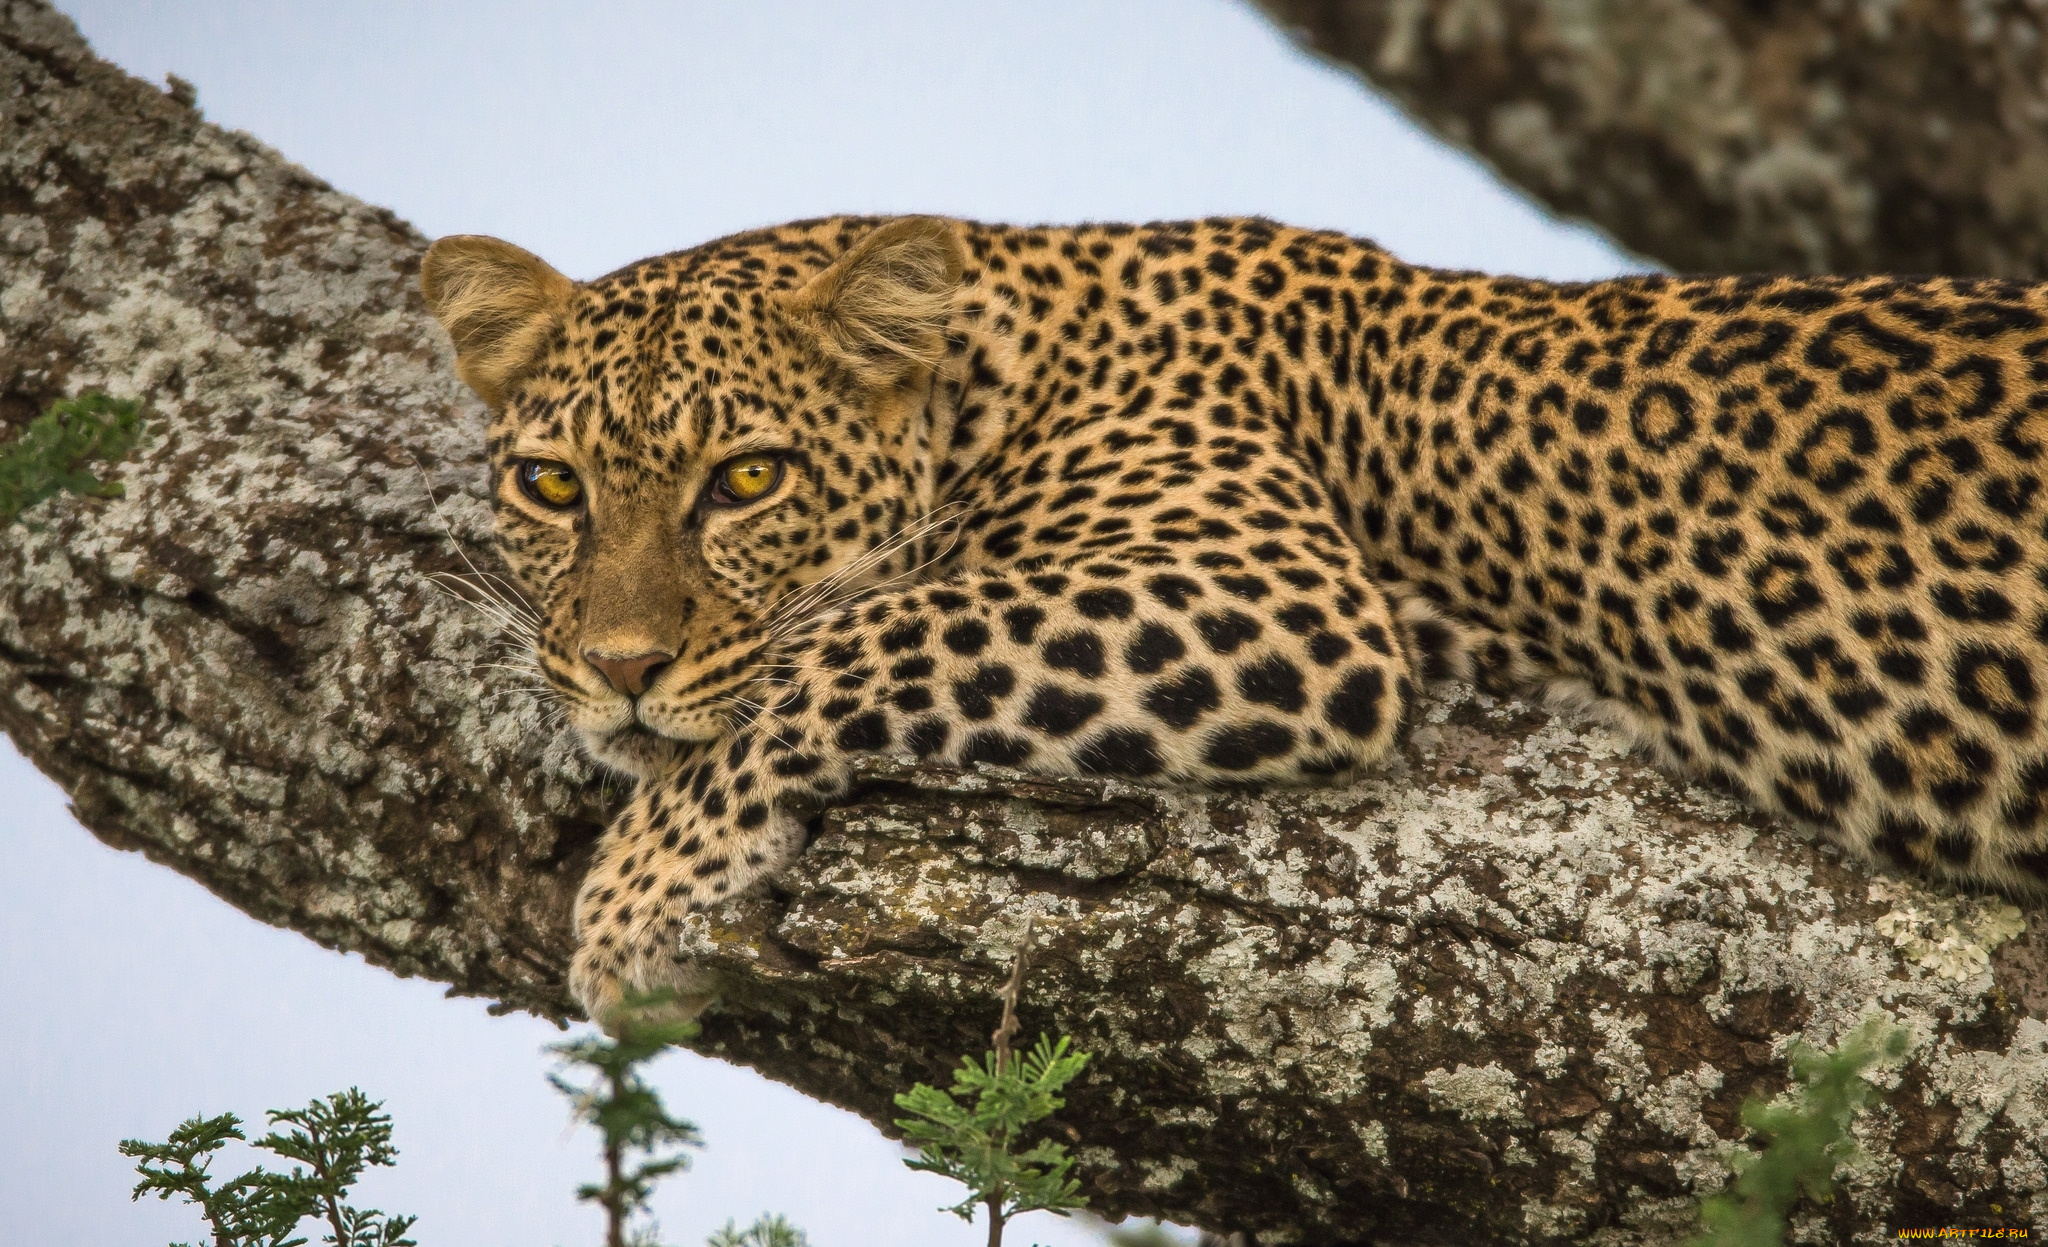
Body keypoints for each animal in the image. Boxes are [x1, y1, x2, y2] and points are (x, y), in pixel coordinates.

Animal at [423, 213, 2048, 1027]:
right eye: (553, 484)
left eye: (748, 478)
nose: (621, 669)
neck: (1005, 357)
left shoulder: (1274, 595)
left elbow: (851, 636)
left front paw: (640, 895)